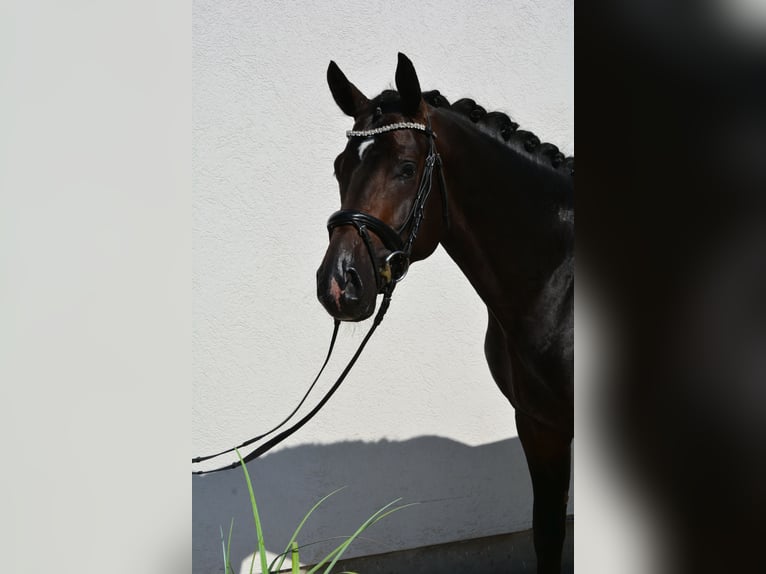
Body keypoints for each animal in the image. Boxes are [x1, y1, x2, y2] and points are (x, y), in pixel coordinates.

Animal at [316, 54, 572, 574]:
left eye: (406, 167)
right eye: (338, 167)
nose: (338, 285)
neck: (558, 280)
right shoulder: (539, 423)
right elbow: (548, 533)